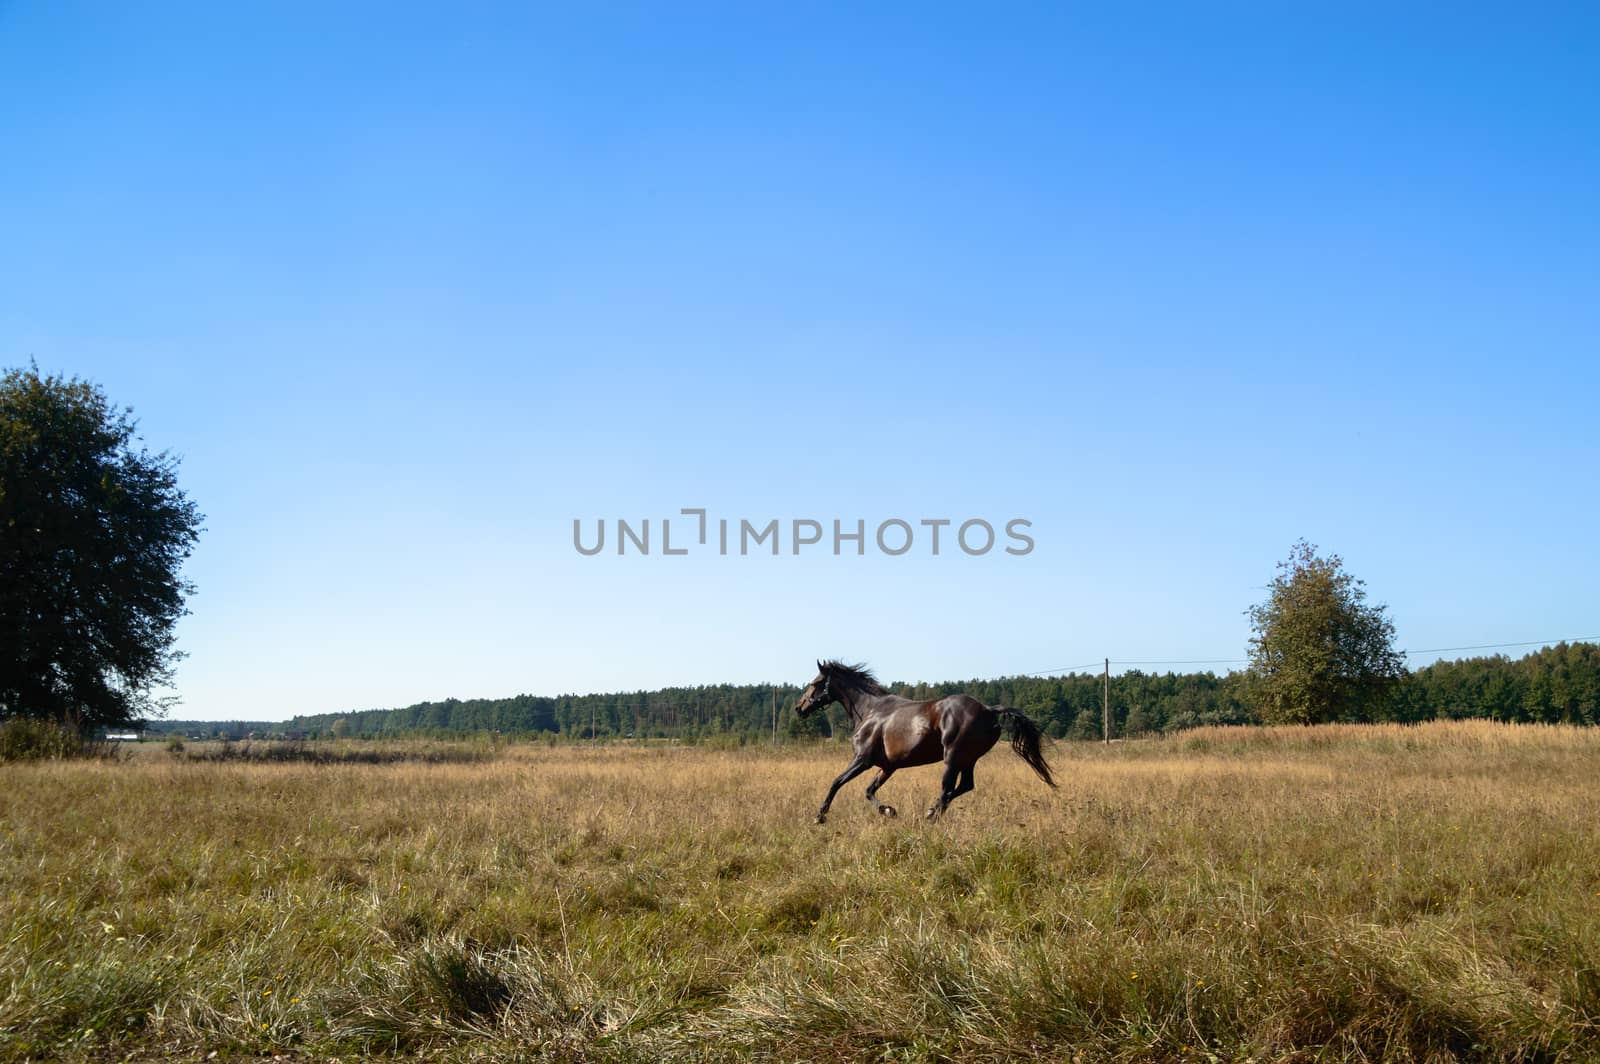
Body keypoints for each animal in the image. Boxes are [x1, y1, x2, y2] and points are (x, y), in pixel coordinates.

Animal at [793, 659, 1056, 825]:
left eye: (815, 683)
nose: (799, 707)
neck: (869, 710)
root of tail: (989, 710)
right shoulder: (887, 766)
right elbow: (869, 790)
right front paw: (889, 811)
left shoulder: (862, 760)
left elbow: (836, 782)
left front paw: (820, 816)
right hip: (968, 759)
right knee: (965, 786)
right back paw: (932, 812)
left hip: (952, 757)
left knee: (947, 788)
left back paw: (931, 815)